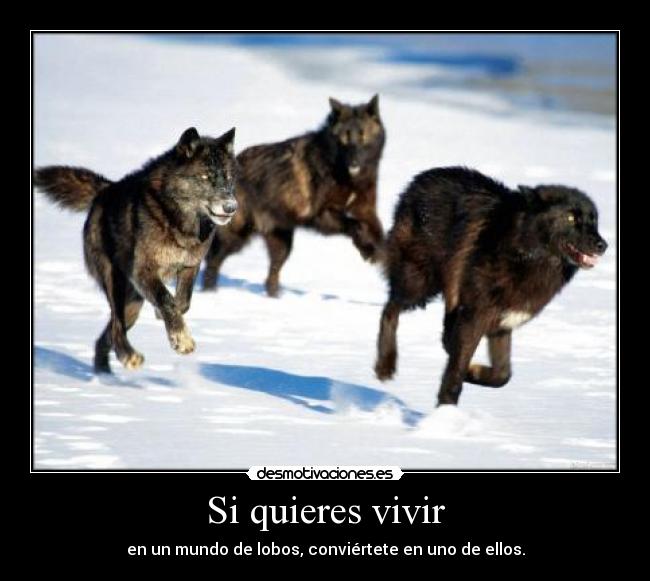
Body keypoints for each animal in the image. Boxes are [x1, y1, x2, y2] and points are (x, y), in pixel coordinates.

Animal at [35, 127, 238, 373]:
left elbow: (182, 302)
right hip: (115, 283)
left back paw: (104, 374)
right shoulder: (143, 271)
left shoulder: (190, 266)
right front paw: (182, 340)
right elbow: (167, 299)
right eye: (205, 177)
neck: (178, 220)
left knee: (106, 335)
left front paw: (166, 320)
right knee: (116, 326)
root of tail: (105, 190)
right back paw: (128, 357)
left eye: (228, 177)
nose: (231, 207)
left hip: (133, 304)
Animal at [202, 95, 386, 297]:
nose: (354, 162)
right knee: (213, 260)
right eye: (343, 139)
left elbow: (379, 235)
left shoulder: (367, 211)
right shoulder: (321, 215)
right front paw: (368, 251)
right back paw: (209, 292)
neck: (345, 176)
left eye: (363, 136)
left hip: (282, 243)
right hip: (236, 236)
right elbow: (355, 226)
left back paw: (274, 299)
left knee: (271, 275)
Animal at [374, 167, 608, 405]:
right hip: (419, 284)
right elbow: (456, 373)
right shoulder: (474, 318)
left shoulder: (501, 325)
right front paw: (446, 409)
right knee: (389, 309)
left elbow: (502, 375)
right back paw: (385, 365)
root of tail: (419, 178)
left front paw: (473, 371)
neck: (523, 252)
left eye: (594, 220)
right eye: (570, 217)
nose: (603, 245)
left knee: (442, 334)